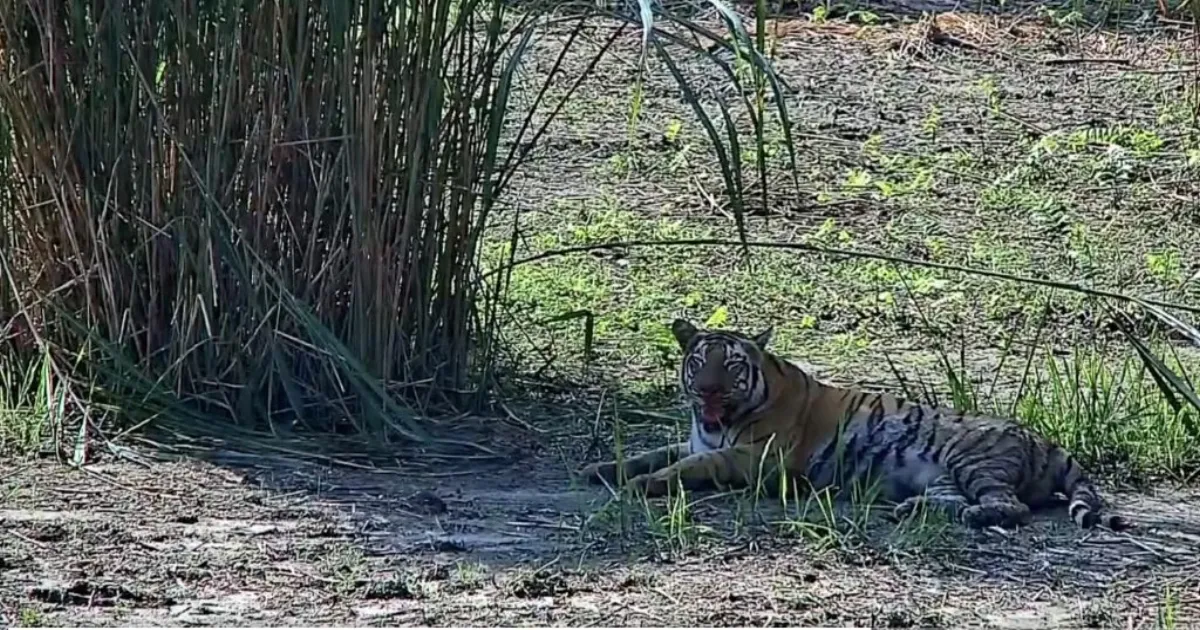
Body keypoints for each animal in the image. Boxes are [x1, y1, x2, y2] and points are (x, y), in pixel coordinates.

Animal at [577, 318, 1130, 531]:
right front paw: (600, 469)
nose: (709, 390)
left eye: (731, 366)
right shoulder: (695, 439)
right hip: (945, 477)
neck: (714, 422)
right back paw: (910, 510)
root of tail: (1047, 440)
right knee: (956, 501)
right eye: (700, 362)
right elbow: (656, 452)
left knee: (1011, 507)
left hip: (972, 461)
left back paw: (971, 516)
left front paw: (644, 484)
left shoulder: (755, 458)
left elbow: (689, 467)